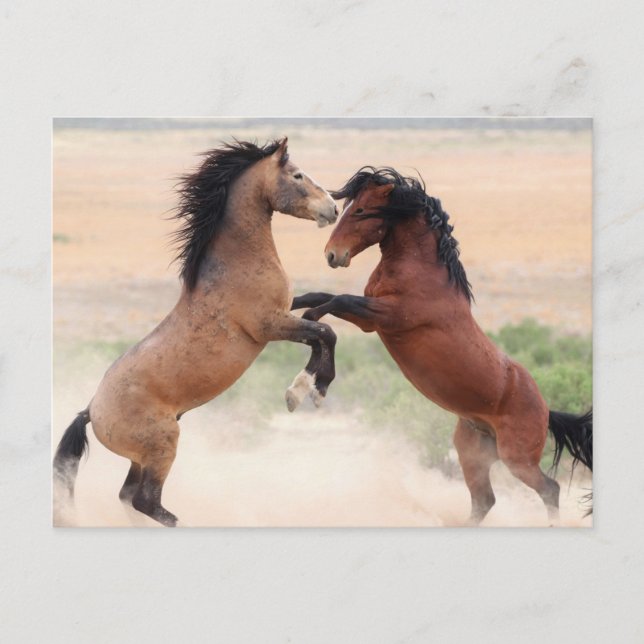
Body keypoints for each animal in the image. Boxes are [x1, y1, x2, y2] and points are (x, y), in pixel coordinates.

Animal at [54, 138, 339, 527]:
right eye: (297, 175)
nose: (333, 208)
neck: (236, 263)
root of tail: (90, 411)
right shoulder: (269, 325)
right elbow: (324, 333)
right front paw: (304, 392)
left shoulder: (283, 313)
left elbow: (319, 316)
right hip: (163, 445)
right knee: (147, 501)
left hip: (141, 457)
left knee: (128, 497)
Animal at [292, 166, 592, 525]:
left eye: (361, 210)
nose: (332, 255)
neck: (422, 271)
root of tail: (547, 410)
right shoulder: (370, 313)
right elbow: (318, 296)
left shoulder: (382, 316)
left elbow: (331, 305)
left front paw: (310, 383)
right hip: (472, 453)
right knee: (484, 501)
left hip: (517, 459)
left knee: (549, 489)